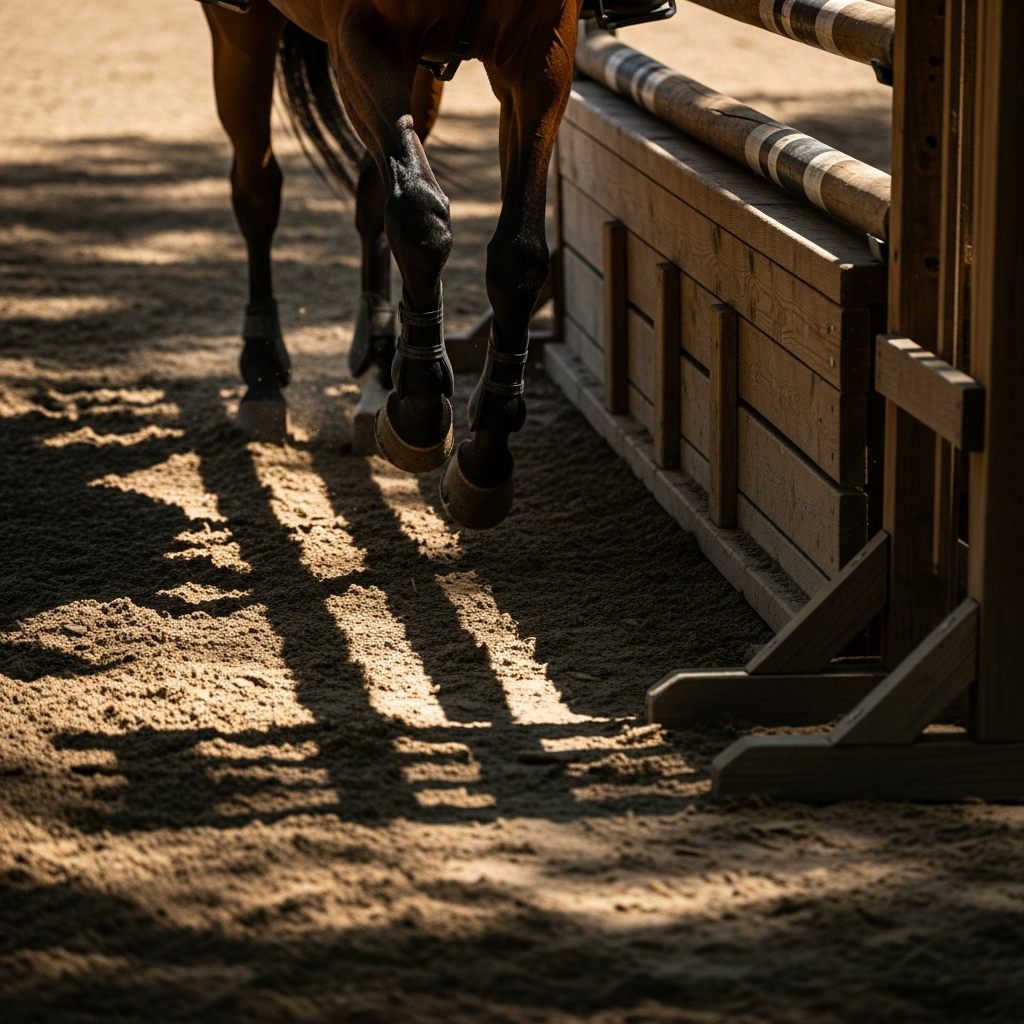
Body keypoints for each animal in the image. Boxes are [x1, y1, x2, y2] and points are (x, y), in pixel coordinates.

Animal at [198, 0, 676, 529]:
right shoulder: (364, 36)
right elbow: (419, 216)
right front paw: (419, 416)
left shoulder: (541, 58)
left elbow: (518, 257)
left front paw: (486, 457)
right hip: (244, 29)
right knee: (258, 189)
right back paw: (262, 371)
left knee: (372, 194)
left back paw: (380, 359)